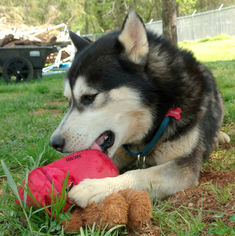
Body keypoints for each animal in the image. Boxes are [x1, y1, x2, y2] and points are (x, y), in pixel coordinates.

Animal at [49, 11, 229, 207]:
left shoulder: (185, 166)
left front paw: (95, 187)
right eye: (68, 100)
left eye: (89, 97)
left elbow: (139, 174)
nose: (54, 143)